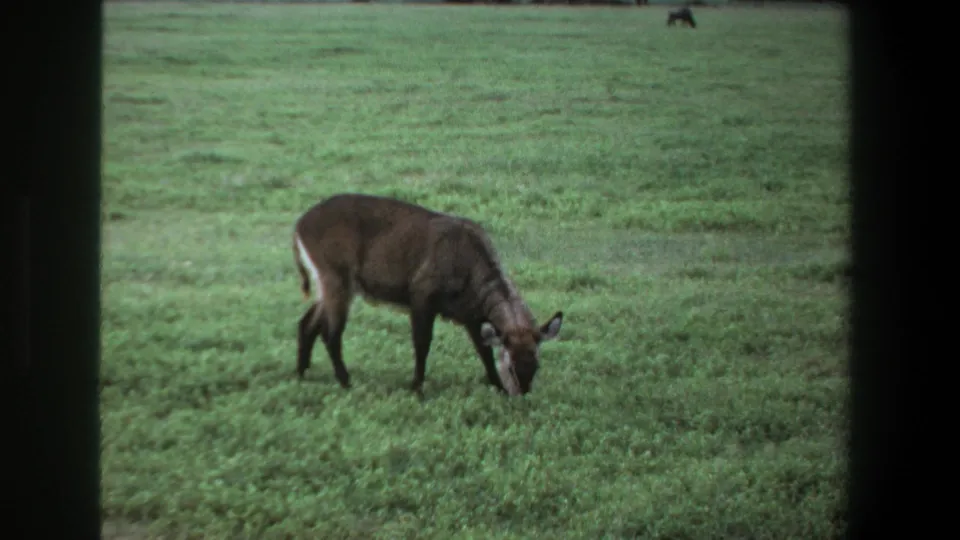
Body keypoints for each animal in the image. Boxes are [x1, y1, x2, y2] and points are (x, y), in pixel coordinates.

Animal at [292, 193, 564, 397]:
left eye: (536, 363)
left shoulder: (471, 316)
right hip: (337, 278)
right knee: (331, 333)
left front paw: (497, 388)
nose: (521, 393)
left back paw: (301, 373)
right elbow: (422, 343)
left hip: (329, 283)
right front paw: (416, 388)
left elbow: (484, 351)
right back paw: (345, 381)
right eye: (510, 366)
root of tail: (298, 226)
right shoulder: (422, 297)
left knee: (307, 323)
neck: (469, 265)